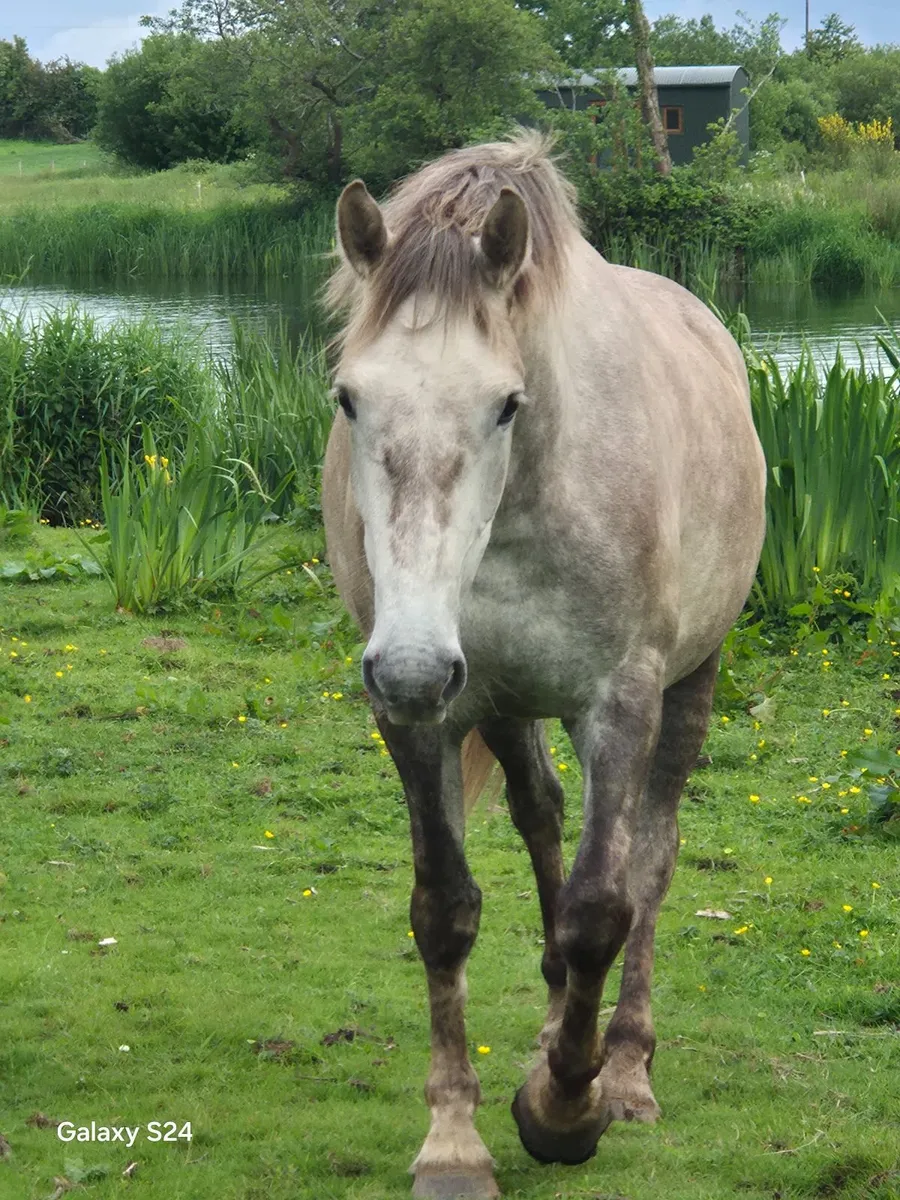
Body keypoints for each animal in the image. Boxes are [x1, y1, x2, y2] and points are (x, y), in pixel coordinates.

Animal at [321, 131, 766, 1199]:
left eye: (505, 405)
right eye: (350, 397)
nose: (410, 661)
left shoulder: (620, 701)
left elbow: (604, 905)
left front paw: (565, 1111)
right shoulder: (422, 713)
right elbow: (445, 909)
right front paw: (454, 1140)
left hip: (688, 686)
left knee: (651, 855)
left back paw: (628, 1068)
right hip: (499, 700)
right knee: (541, 814)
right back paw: (562, 1018)